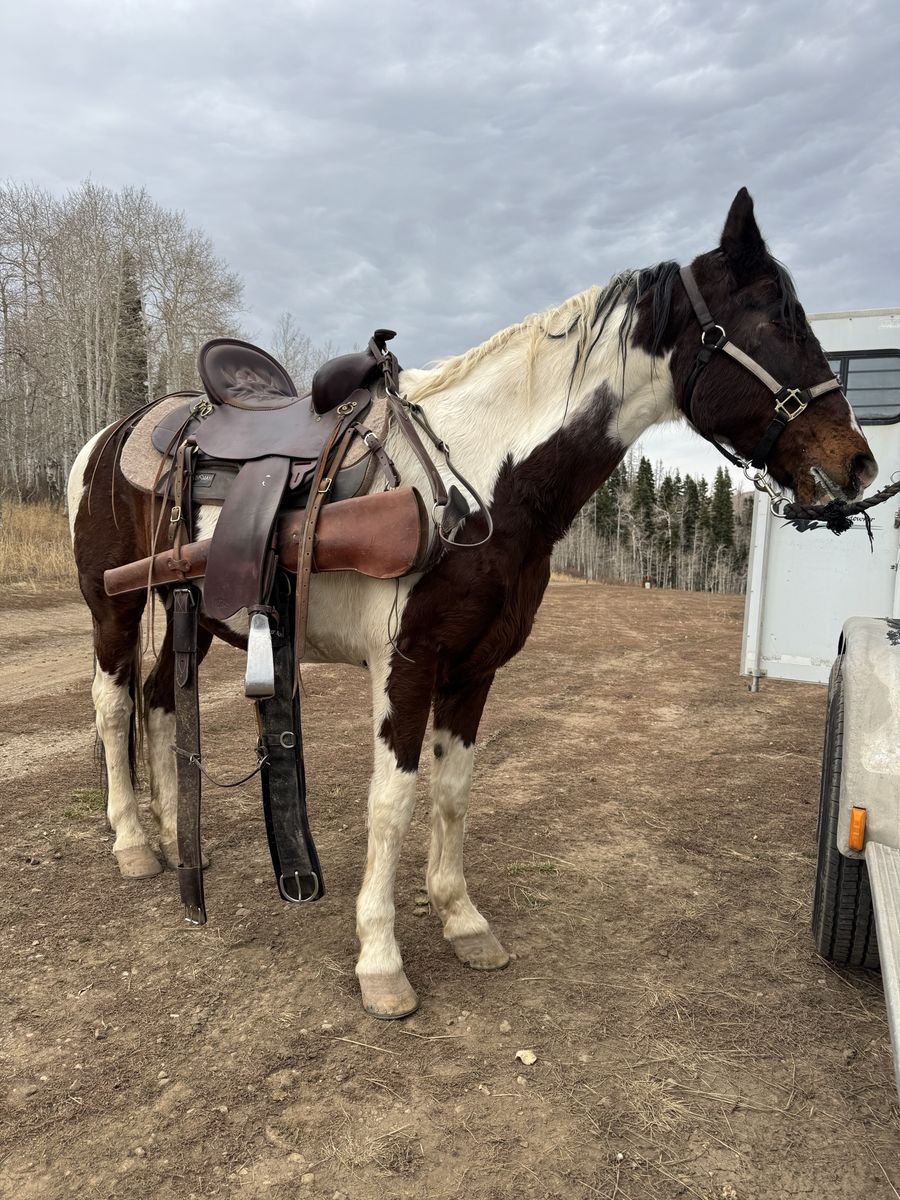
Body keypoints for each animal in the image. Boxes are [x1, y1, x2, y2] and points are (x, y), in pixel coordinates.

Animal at [68, 188, 877, 1018]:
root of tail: (112, 434)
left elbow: (454, 791)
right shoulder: (405, 667)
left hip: (193, 615)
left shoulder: (474, 669)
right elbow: (392, 802)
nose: (857, 462)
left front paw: (462, 921)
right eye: (774, 320)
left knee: (160, 701)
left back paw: (174, 834)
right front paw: (381, 960)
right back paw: (133, 843)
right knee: (112, 702)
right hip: (112, 611)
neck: (476, 484)